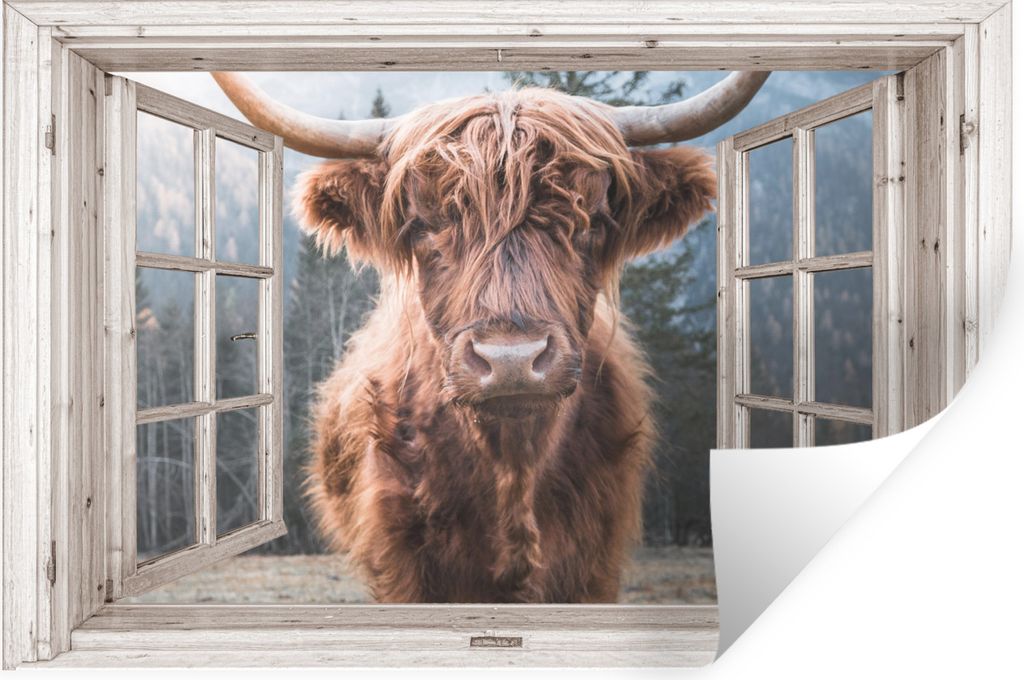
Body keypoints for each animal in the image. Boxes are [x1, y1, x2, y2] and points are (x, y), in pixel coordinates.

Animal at [212, 72, 768, 603]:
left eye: (591, 218)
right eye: (424, 222)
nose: (511, 360)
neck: (513, 467)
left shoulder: (596, 565)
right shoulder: (402, 564)